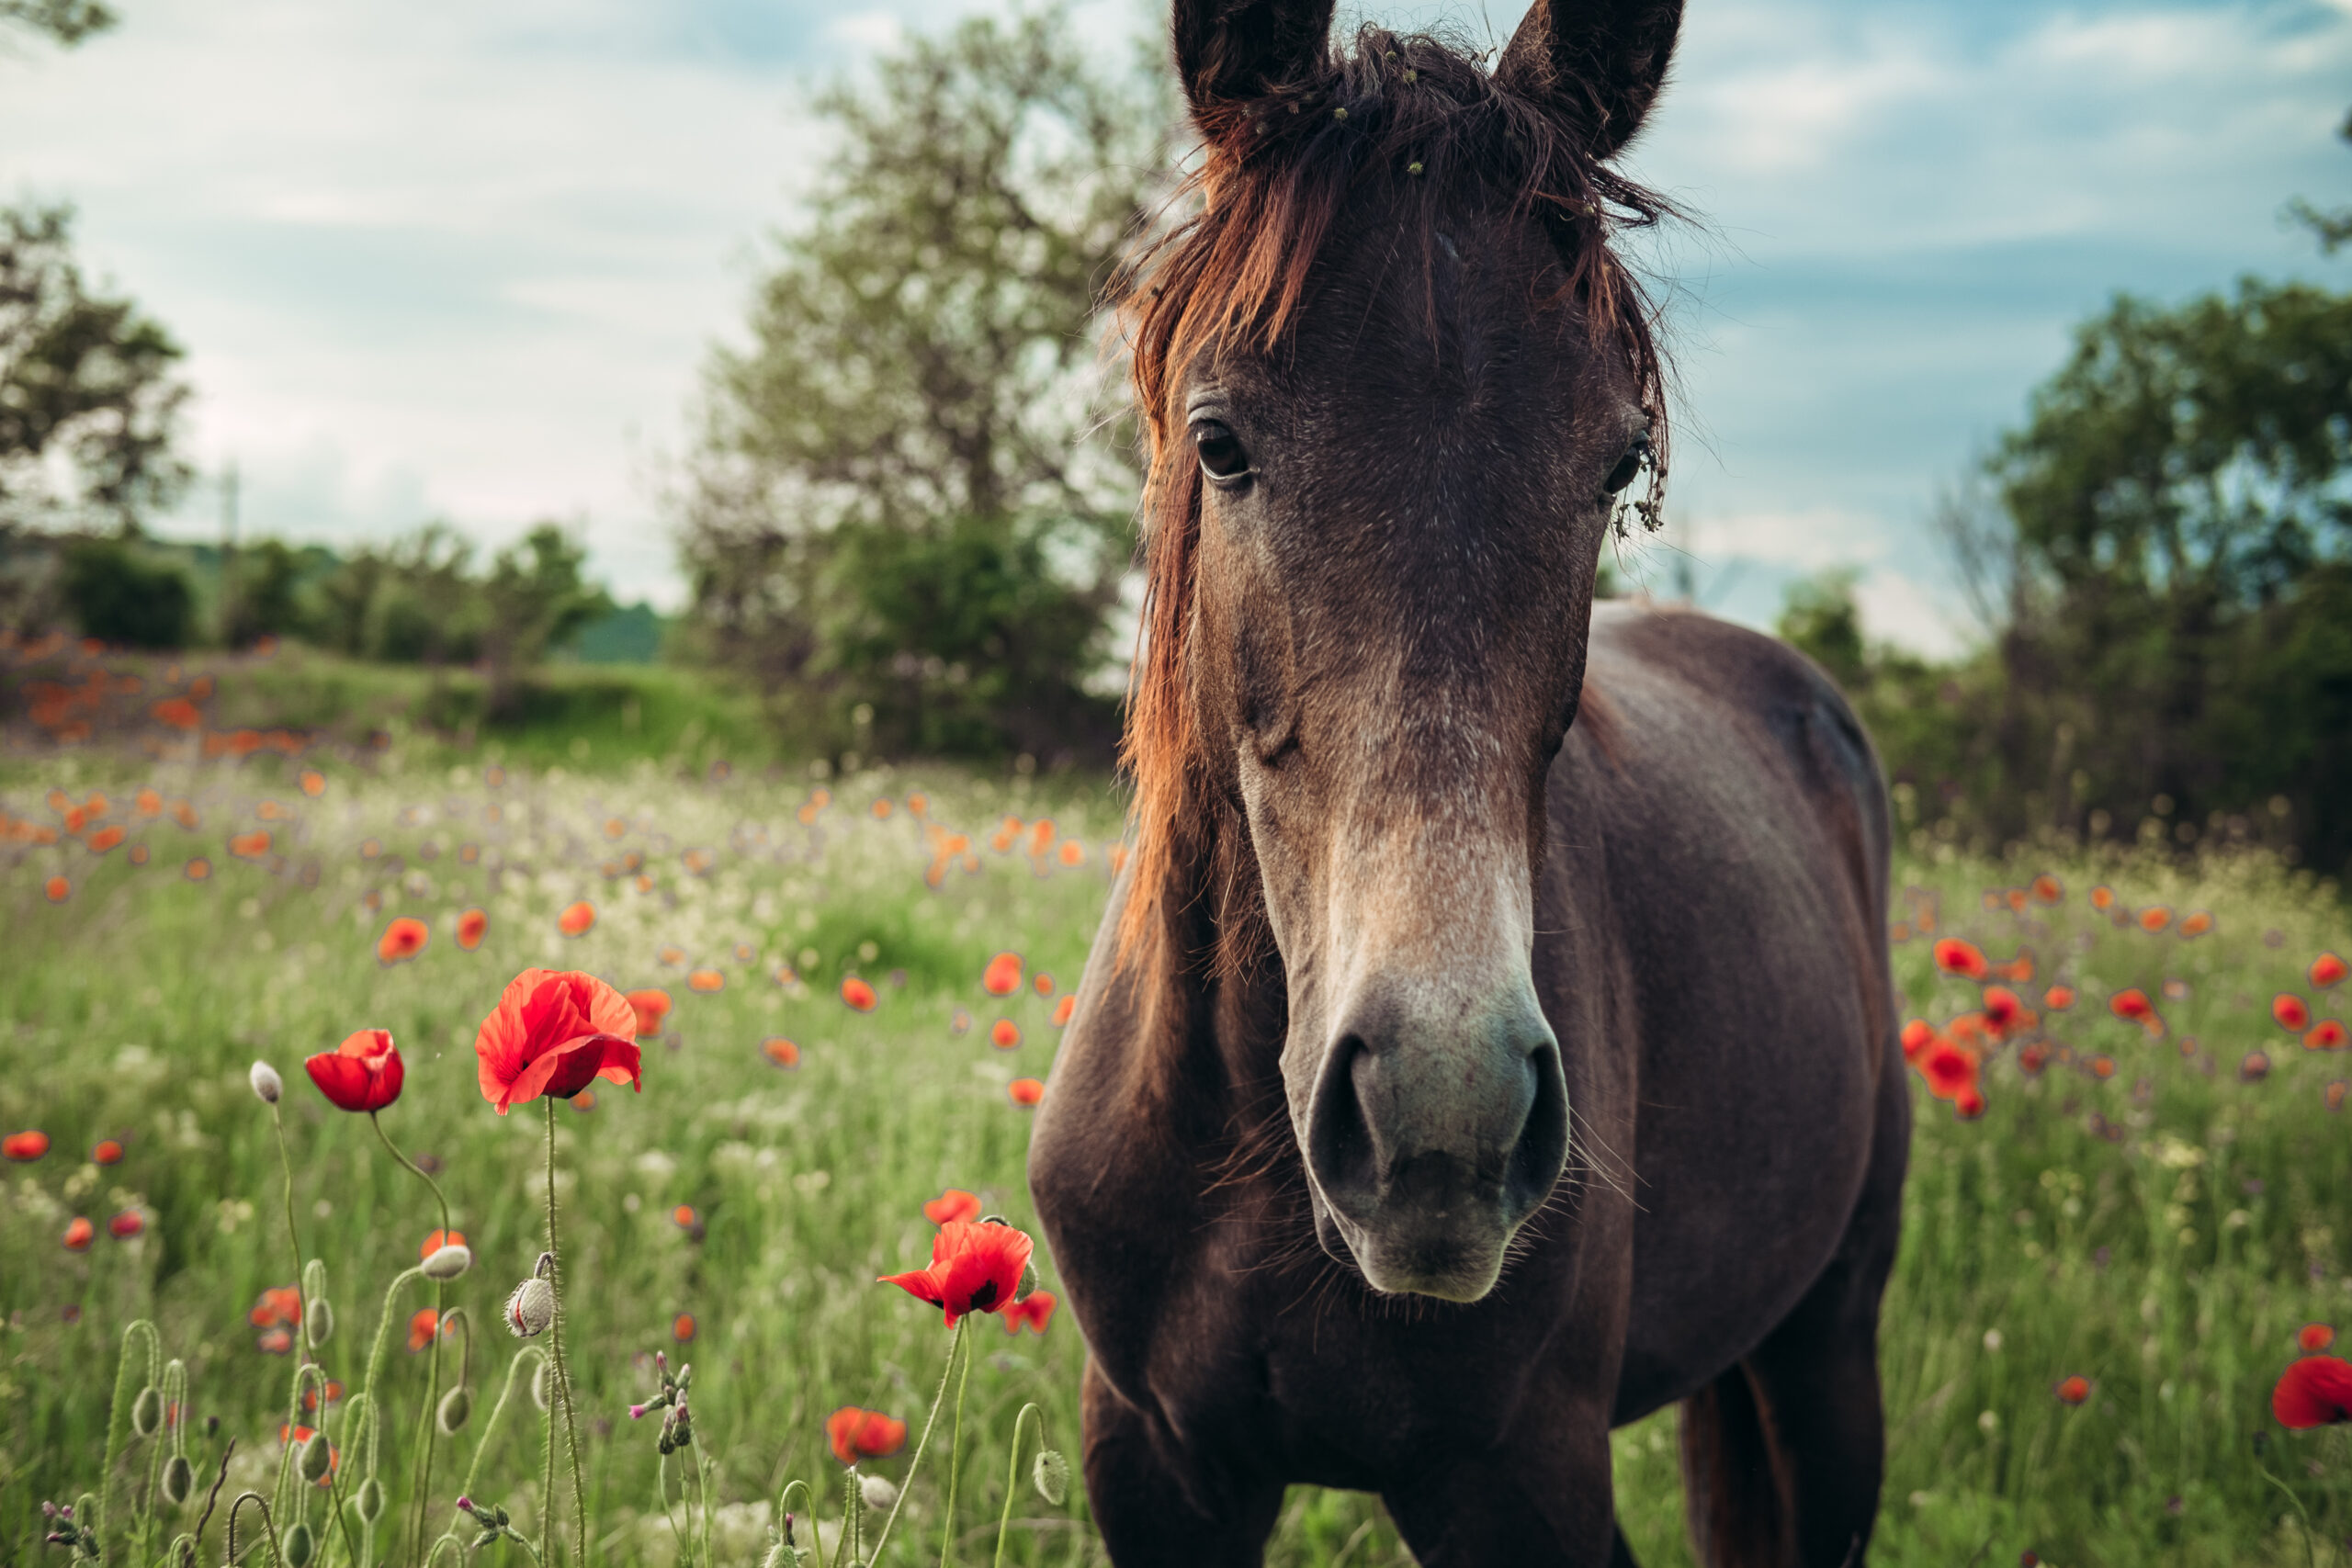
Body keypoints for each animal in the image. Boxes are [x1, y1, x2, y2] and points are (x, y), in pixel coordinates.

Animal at [1027, 2, 1909, 1563]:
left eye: (1617, 458)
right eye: (1219, 439)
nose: (1444, 1113)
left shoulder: (1517, 1481)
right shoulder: (1155, 1460)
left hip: (1826, 1353)